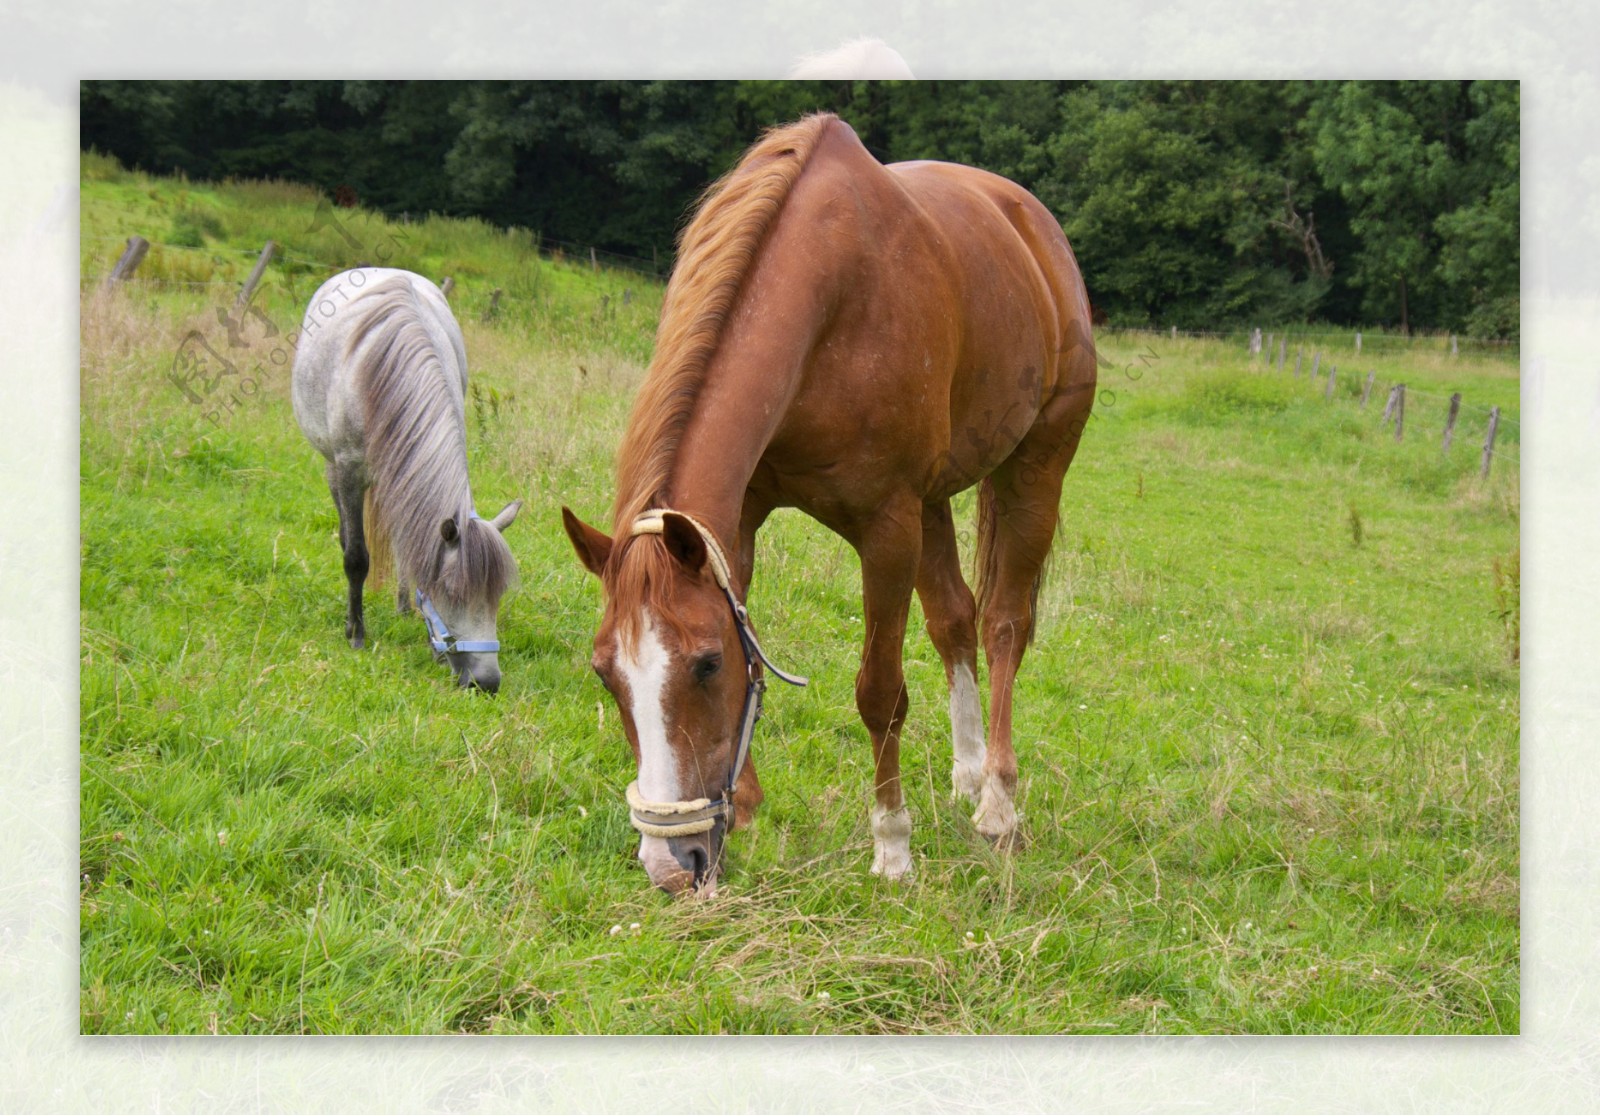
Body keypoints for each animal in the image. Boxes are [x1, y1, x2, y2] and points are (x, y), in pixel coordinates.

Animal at [556, 112, 1094, 888]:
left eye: (704, 664)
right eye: (605, 673)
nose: (671, 866)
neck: (828, 299)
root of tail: (1035, 228)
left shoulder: (887, 529)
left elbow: (880, 691)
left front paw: (892, 845)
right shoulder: (739, 523)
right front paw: (745, 807)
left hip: (1034, 468)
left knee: (1003, 624)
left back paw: (997, 801)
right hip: (934, 502)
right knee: (955, 618)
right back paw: (966, 773)